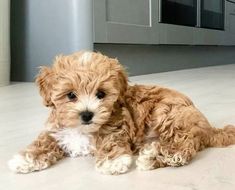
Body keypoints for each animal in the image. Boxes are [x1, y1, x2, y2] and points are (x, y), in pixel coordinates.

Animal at [8, 51, 235, 174]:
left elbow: (110, 141)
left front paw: (112, 162)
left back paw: (155, 157)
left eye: (101, 94)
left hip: (168, 114)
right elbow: (44, 141)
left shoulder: (117, 127)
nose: (87, 115)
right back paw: (151, 153)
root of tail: (208, 127)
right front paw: (26, 158)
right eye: (70, 95)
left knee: (184, 146)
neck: (82, 129)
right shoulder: (57, 131)